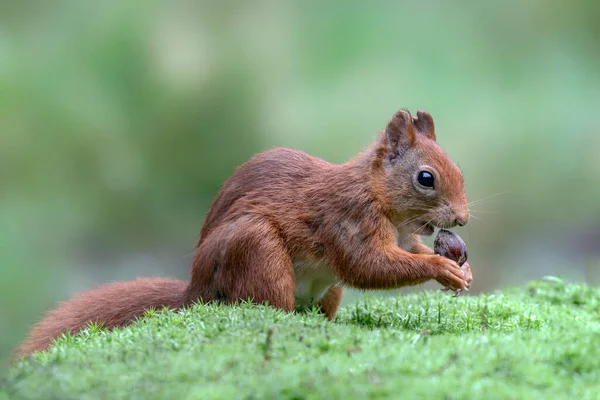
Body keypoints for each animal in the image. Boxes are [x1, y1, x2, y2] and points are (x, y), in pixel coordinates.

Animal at [16, 108, 468, 356]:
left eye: (458, 170)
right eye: (426, 178)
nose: (462, 219)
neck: (380, 199)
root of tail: (194, 290)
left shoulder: (405, 235)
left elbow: (408, 251)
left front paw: (459, 268)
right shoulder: (348, 219)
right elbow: (367, 265)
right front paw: (442, 269)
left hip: (325, 291)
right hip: (256, 248)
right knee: (267, 305)